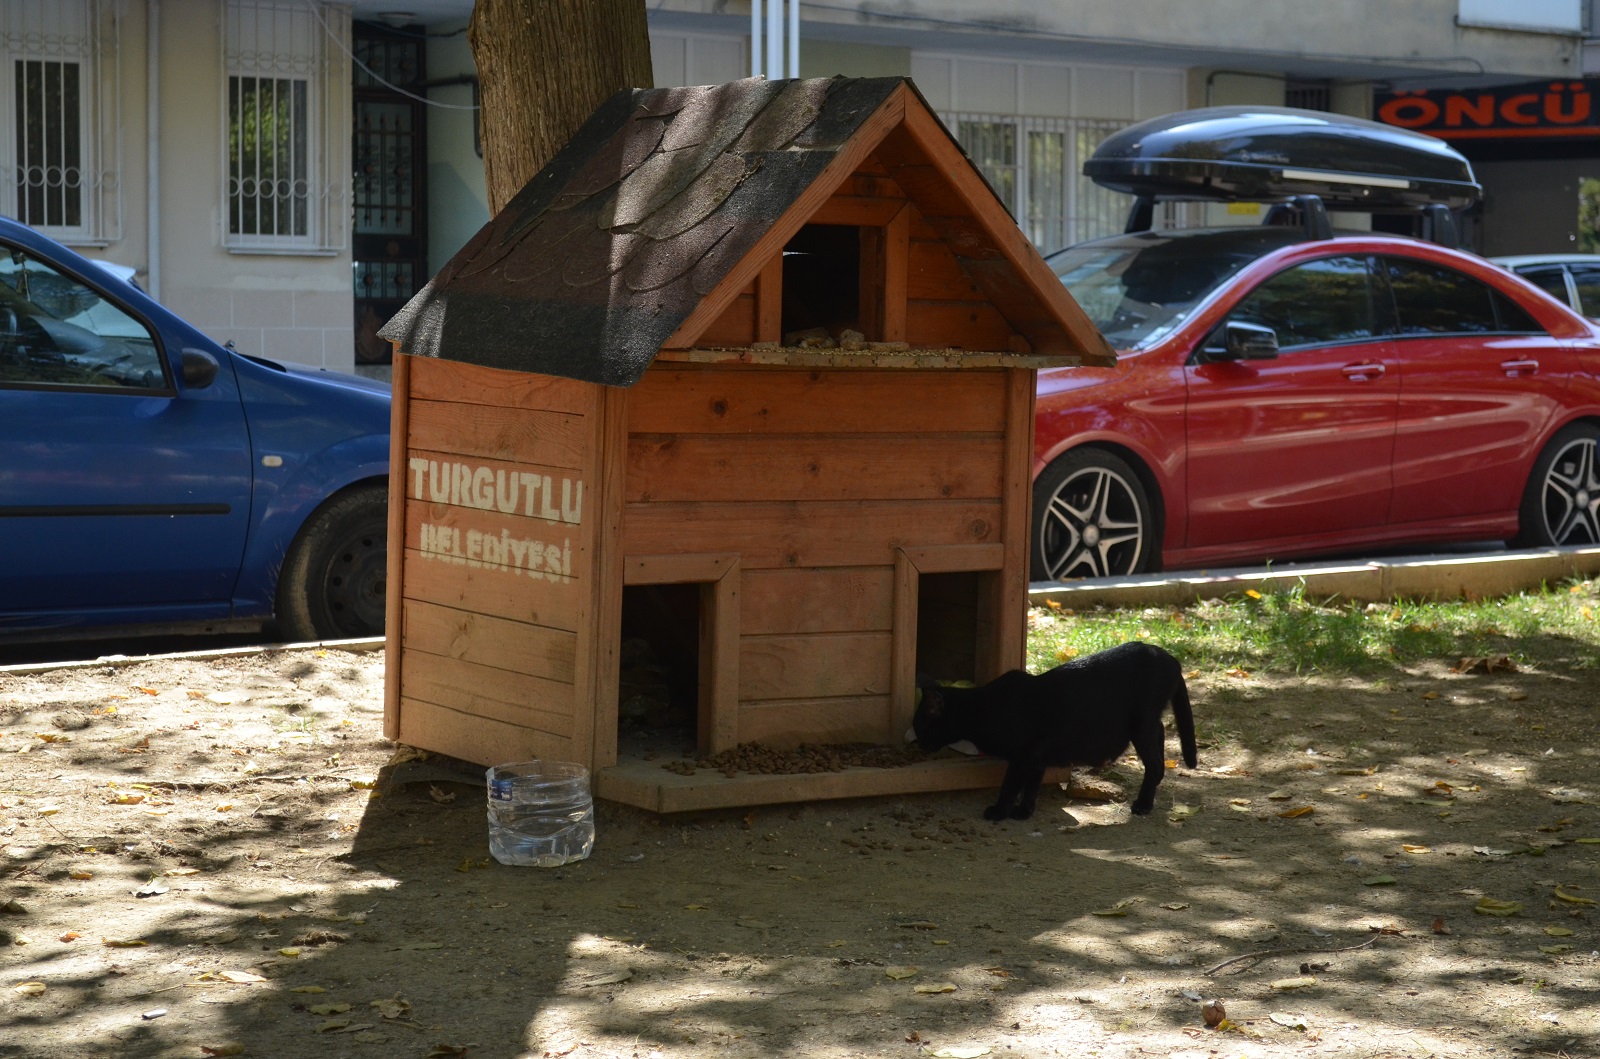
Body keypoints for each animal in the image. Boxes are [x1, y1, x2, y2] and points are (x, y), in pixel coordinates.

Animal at [912, 641, 1197, 821]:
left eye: (920, 725)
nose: (918, 744)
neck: (983, 708)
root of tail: (1172, 659)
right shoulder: (1037, 758)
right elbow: (1031, 786)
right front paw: (1024, 812)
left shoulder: (1023, 756)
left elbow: (1010, 785)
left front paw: (1000, 811)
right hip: (1147, 724)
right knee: (1160, 739)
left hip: (1140, 724)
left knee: (1155, 763)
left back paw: (1143, 805)